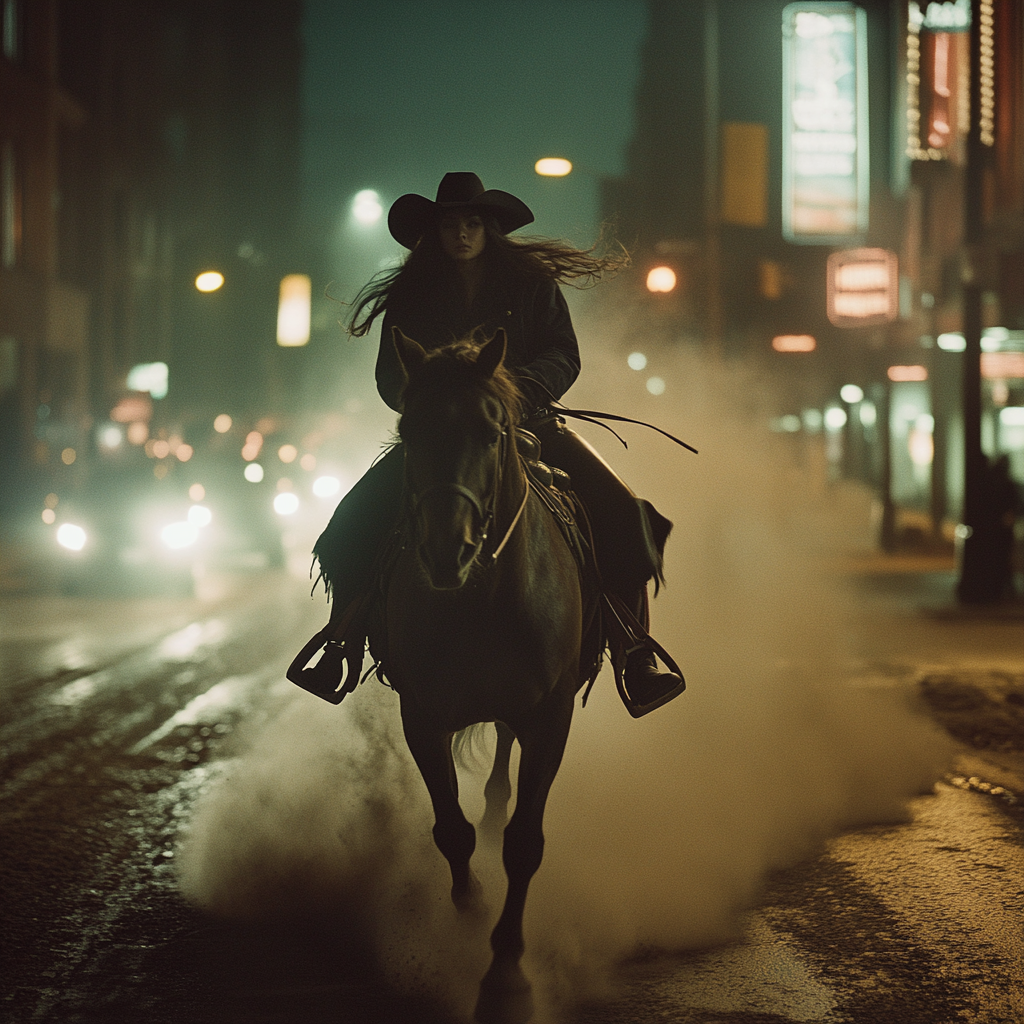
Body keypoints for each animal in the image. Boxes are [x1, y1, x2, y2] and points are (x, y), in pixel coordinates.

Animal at [378, 327, 598, 1024]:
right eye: (409, 427)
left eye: (490, 430)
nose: (446, 550)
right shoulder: (422, 715)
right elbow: (451, 829)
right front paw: (468, 911)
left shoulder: (551, 716)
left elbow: (526, 842)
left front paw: (506, 975)